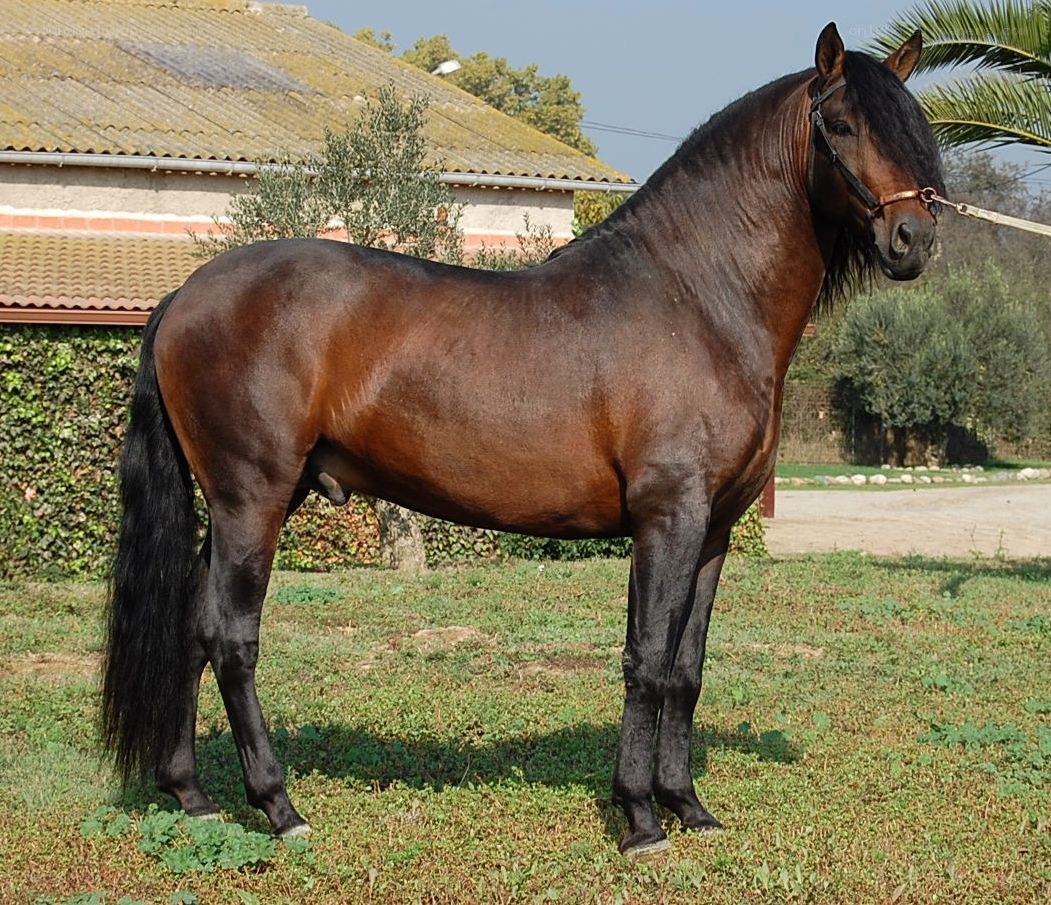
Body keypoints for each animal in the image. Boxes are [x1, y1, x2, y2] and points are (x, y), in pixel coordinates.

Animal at [102, 22, 944, 856]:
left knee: (191, 628)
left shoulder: (713, 532)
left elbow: (686, 669)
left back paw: (193, 795)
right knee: (231, 638)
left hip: (240, 504)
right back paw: (279, 807)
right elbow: (646, 661)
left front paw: (689, 806)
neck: (696, 299)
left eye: (912, 127)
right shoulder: (666, 518)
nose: (913, 239)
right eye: (841, 124)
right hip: (254, 498)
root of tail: (185, 295)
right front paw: (639, 819)